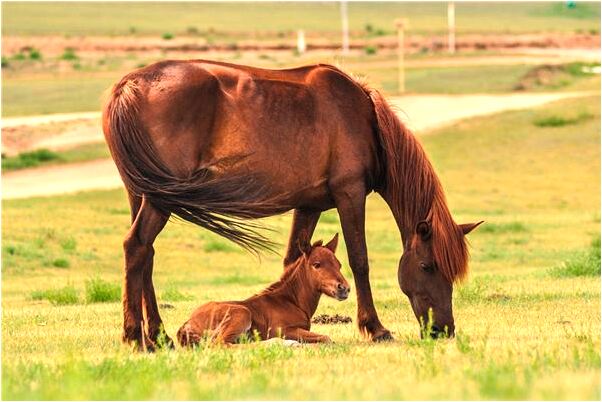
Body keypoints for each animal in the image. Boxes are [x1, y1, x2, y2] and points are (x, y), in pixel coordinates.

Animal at [175, 232, 346, 346]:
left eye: (339, 264)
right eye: (317, 264)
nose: (344, 288)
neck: (291, 301)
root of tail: (188, 323)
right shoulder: (282, 329)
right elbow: (326, 338)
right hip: (241, 313)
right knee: (220, 344)